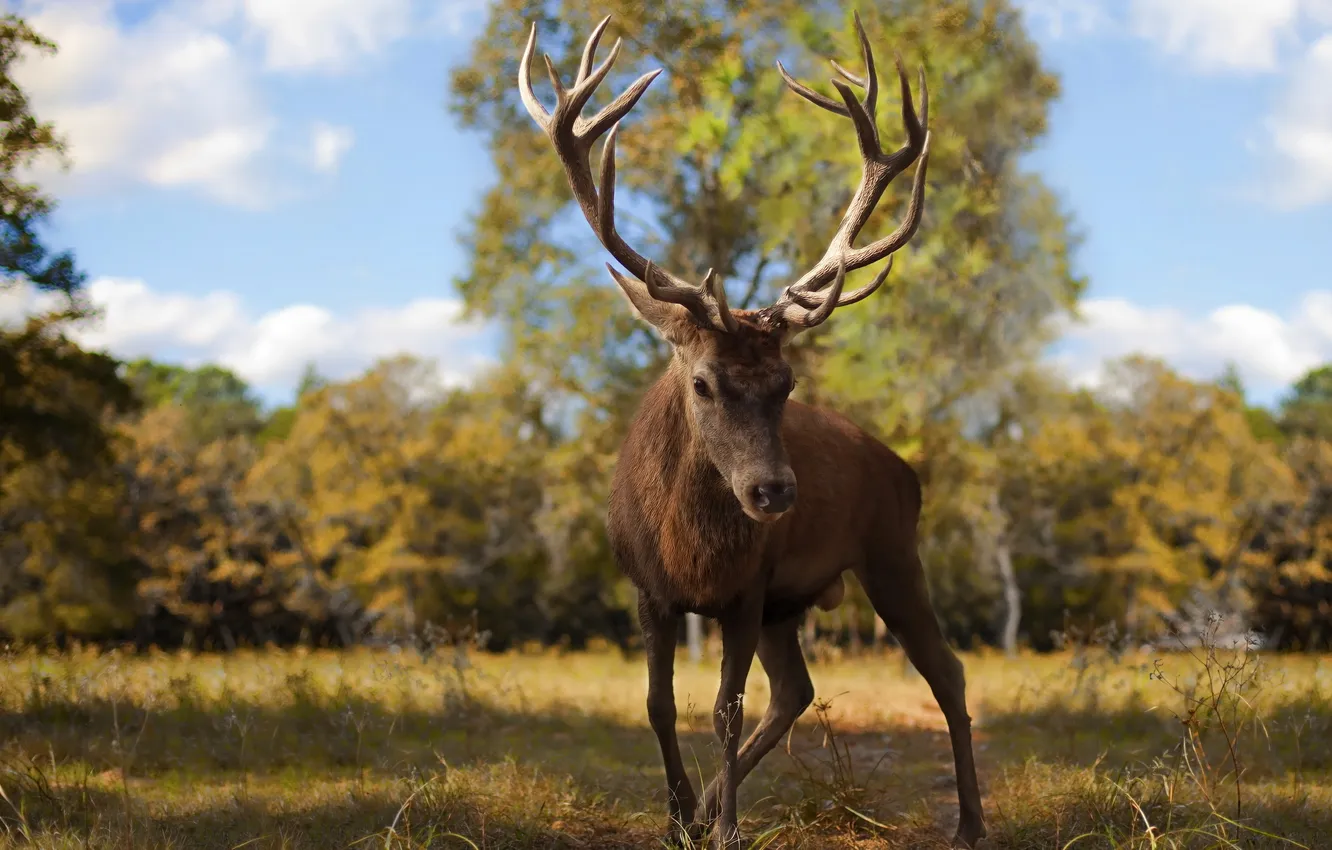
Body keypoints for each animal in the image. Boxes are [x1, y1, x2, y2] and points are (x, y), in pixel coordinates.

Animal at [516, 11, 985, 849]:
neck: (690, 552)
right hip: (792, 603)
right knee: (797, 689)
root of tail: (905, 469)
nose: (773, 493)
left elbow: (725, 711)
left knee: (946, 670)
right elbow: (658, 704)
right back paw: (706, 808)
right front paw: (680, 818)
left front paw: (728, 828)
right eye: (704, 382)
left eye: (786, 385)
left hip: (890, 551)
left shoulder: (747, 588)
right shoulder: (649, 588)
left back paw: (968, 822)